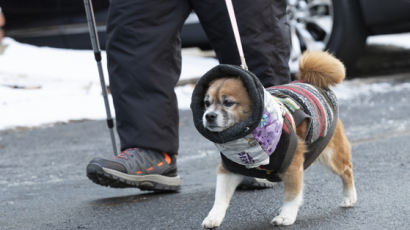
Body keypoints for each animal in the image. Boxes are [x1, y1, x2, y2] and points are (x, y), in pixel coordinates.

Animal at [199, 51, 356, 228]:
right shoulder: (229, 169)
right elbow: (220, 197)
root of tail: (311, 82)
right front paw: (214, 217)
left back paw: (349, 197)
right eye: (206, 103)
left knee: (347, 170)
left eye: (228, 102)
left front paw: (286, 216)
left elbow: (292, 195)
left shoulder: (293, 166)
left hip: (331, 156)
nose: (209, 116)